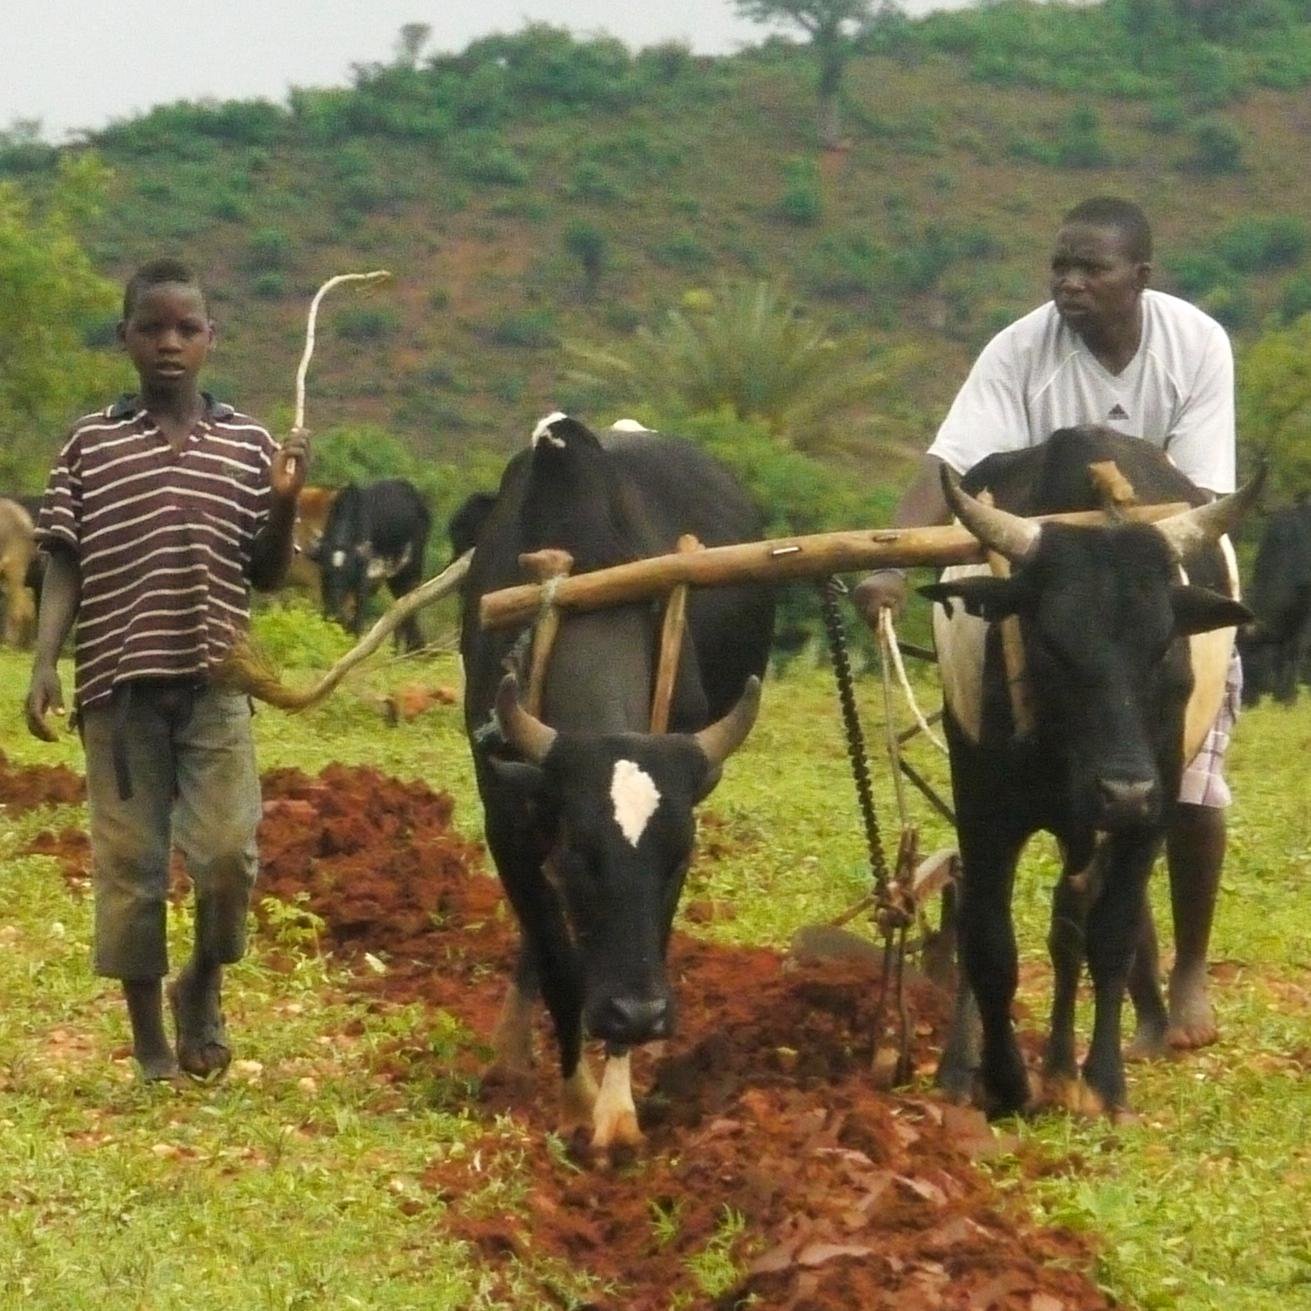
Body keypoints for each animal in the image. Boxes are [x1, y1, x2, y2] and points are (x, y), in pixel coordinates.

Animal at [317, 477, 430, 650]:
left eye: (348, 574)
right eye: (327, 573)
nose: (336, 606)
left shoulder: (362, 582)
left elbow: (357, 619)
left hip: (411, 569)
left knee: (409, 605)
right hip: (394, 576)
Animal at [461, 416, 770, 1148]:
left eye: (678, 857)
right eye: (581, 855)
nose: (639, 1013)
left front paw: (616, 1109)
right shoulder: (508, 820)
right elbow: (558, 958)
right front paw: (575, 1100)